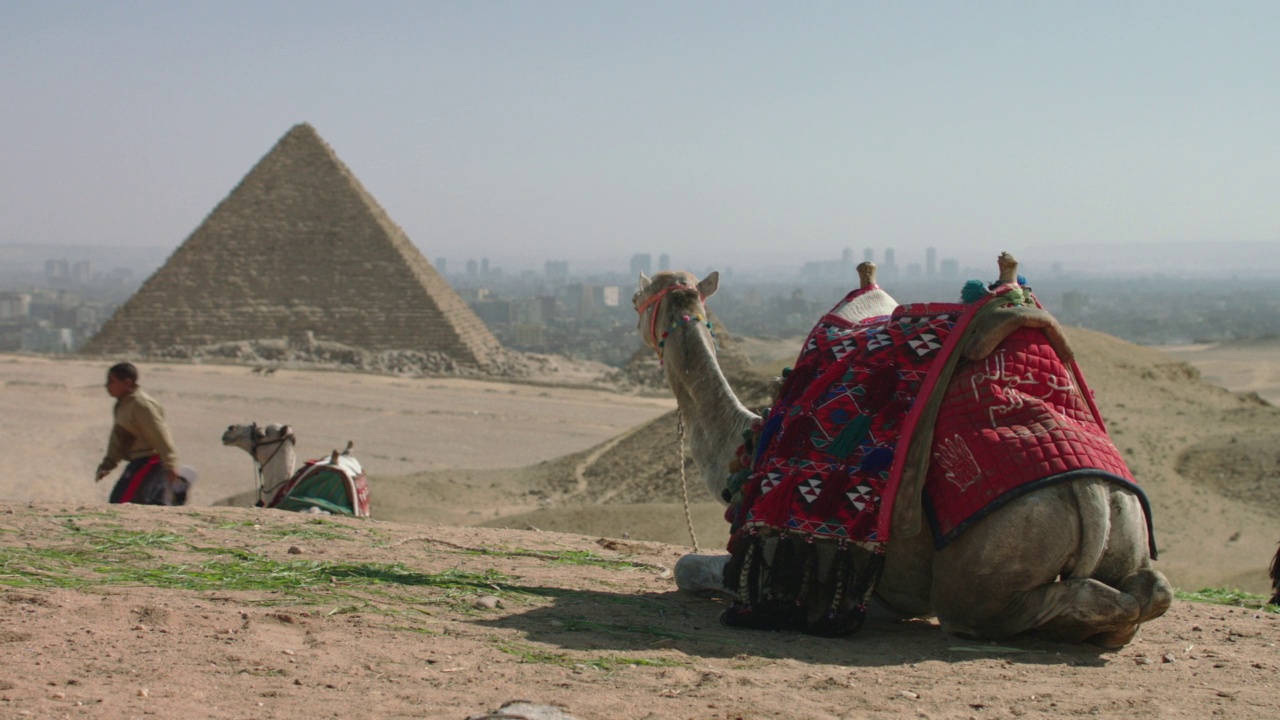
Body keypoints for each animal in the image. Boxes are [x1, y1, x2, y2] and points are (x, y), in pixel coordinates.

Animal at [634, 253, 1172, 645]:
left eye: (640, 296)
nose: (634, 308)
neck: (747, 440)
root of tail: (1092, 494)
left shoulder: (762, 552)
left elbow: (685, 568)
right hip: (1125, 526)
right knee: (1152, 590)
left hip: (980, 574)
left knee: (991, 613)